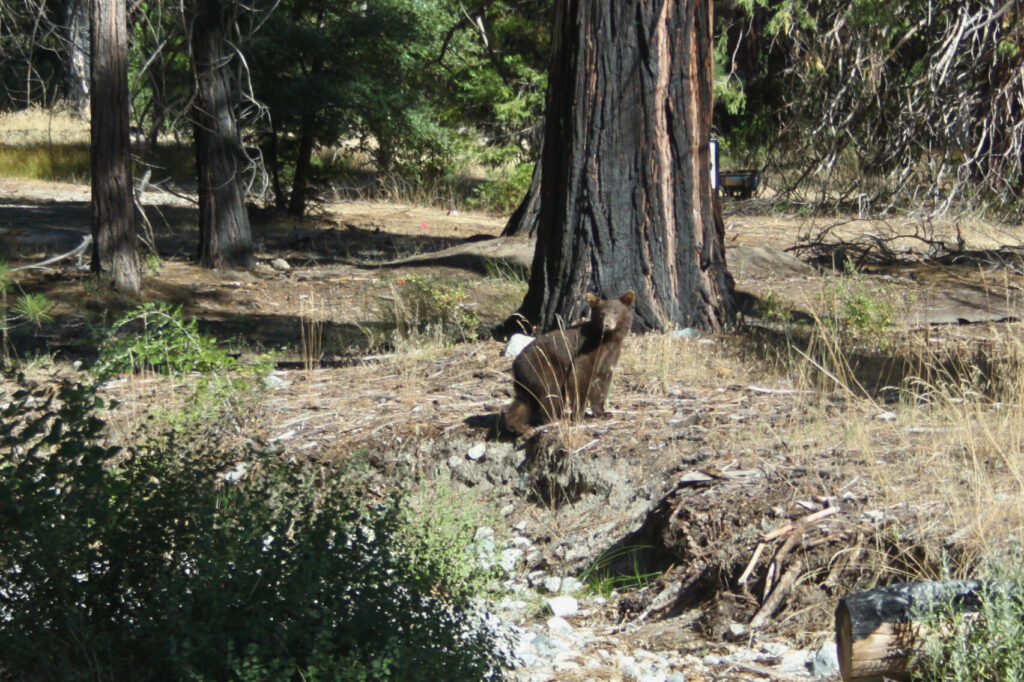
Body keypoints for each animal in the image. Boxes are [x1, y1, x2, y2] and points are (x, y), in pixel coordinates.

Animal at [501, 290, 635, 436]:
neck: (607, 338)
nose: (607, 324)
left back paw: (518, 426)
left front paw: (604, 413)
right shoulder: (589, 348)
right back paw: (555, 417)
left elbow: (602, 381)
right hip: (542, 367)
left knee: (525, 402)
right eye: (601, 313)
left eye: (615, 312)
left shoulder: (610, 355)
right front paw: (580, 415)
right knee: (550, 392)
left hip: (527, 379)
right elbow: (580, 375)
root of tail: (515, 364)